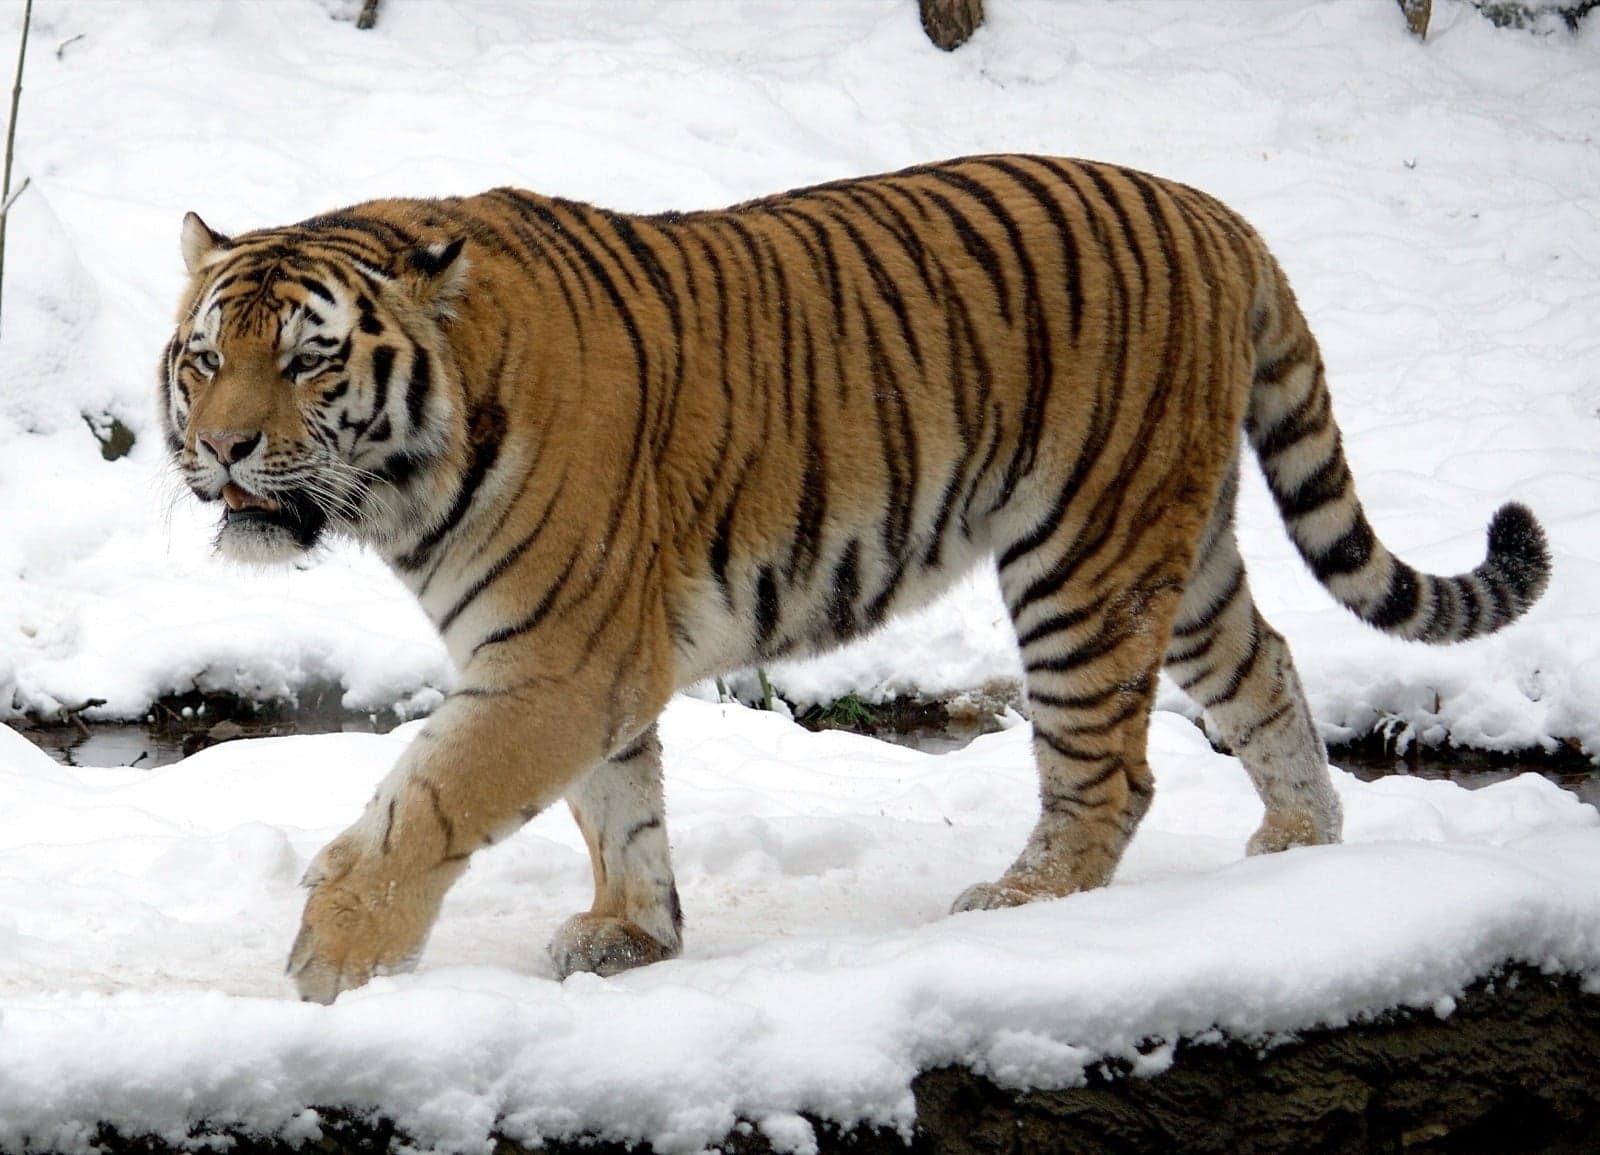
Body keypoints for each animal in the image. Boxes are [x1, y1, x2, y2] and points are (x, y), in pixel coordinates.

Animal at [159, 155, 1551, 1004]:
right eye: (204, 358)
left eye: (308, 360)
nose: (220, 448)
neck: (407, 476)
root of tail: (1220, 214)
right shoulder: (582, 662)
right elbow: (619, 807)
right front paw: (633, 936)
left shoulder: (557, 661)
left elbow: (427, 806)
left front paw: (331, 967)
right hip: (1179, 543)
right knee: (1262, 667)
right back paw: (1296, 852)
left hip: (1083, 557)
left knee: (1111, 769)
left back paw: (1019, 906)